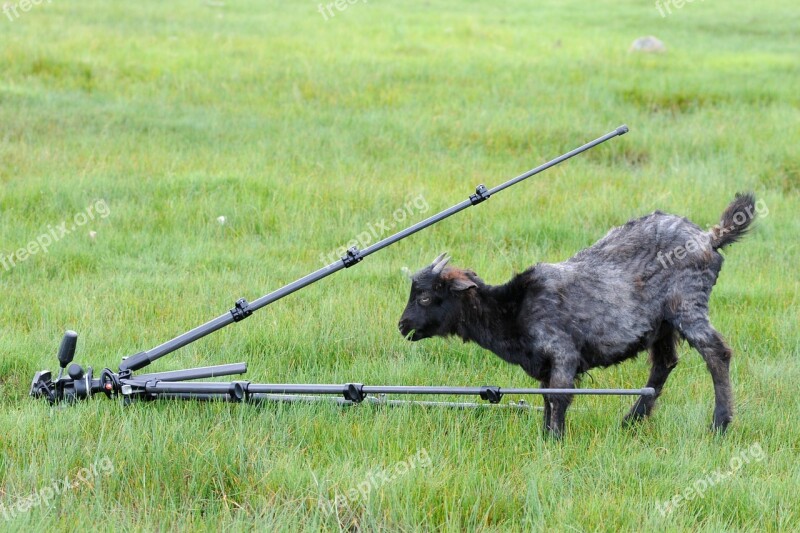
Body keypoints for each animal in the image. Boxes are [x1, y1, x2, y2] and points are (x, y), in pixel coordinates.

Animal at [396, 194, 760, 436]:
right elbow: (546, 398)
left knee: (716, 353)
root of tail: (709, 238)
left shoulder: (562, 352)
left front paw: (554, 440)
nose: (402, 326)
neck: (512, 307)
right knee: (664, 363)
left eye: (425, 297)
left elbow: (558, 396)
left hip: (687, 304)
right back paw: (632, 420)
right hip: (662, 324)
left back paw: (719, 424)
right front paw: (546, 434)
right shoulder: (546, 364)